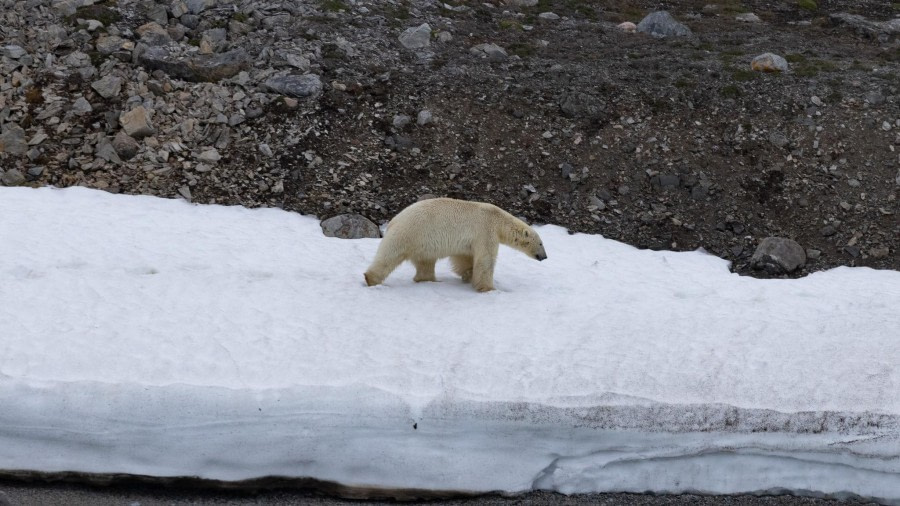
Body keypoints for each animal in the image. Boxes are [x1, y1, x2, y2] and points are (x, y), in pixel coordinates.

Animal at [360, 198, 544, 292]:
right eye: (541, 243)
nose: (545, 256)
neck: (498, 219)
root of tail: (393, 221)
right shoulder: (485, 230)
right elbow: (486, 260)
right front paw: (488, 288)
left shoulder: (470, 240)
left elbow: (464, 256)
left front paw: (468, 275)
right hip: (410, 233)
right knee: (389, 256)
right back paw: (371, 279)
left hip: (422, 244)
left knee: (425, 262)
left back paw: (430, 280)